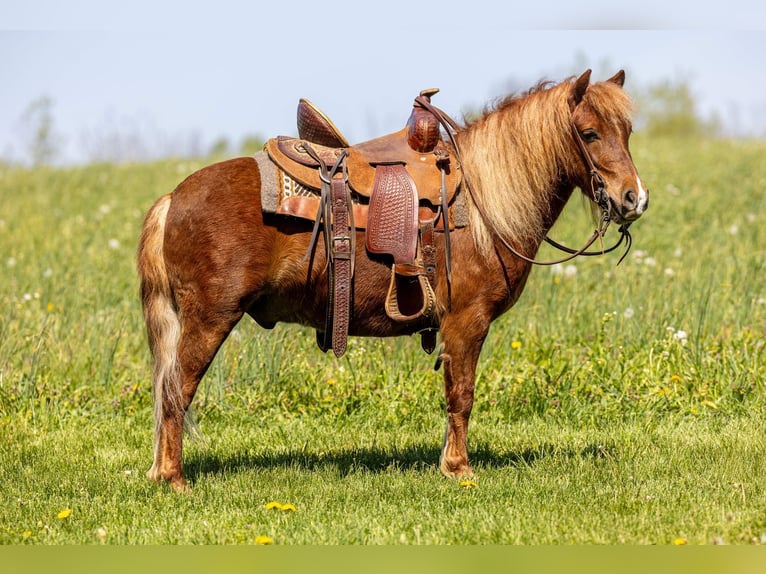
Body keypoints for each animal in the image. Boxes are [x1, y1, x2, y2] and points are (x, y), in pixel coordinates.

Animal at [137, 69, 649, 491]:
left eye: (626, 132)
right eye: (589, 133)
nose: (634, 198)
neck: (483, 203)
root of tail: (171, 199)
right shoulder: (467, 321)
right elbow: (462, 394)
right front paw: (459, 469)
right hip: (210, 318)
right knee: (176, 389)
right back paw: (173, 479)